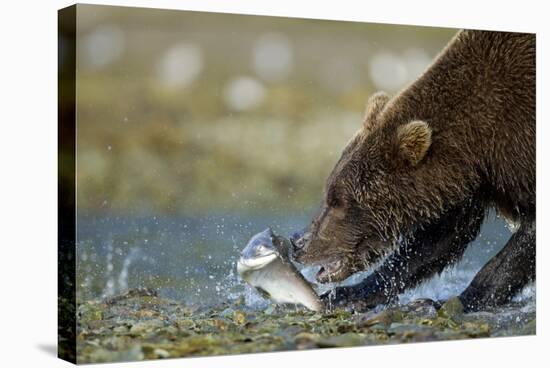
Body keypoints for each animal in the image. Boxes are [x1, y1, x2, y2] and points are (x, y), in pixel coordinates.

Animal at [296, 29, 536, 310]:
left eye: (338, 201)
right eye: (328, 193)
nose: (298, 242)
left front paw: (457, 299)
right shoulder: (467, 182)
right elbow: (435, 241)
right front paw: (351, 294)